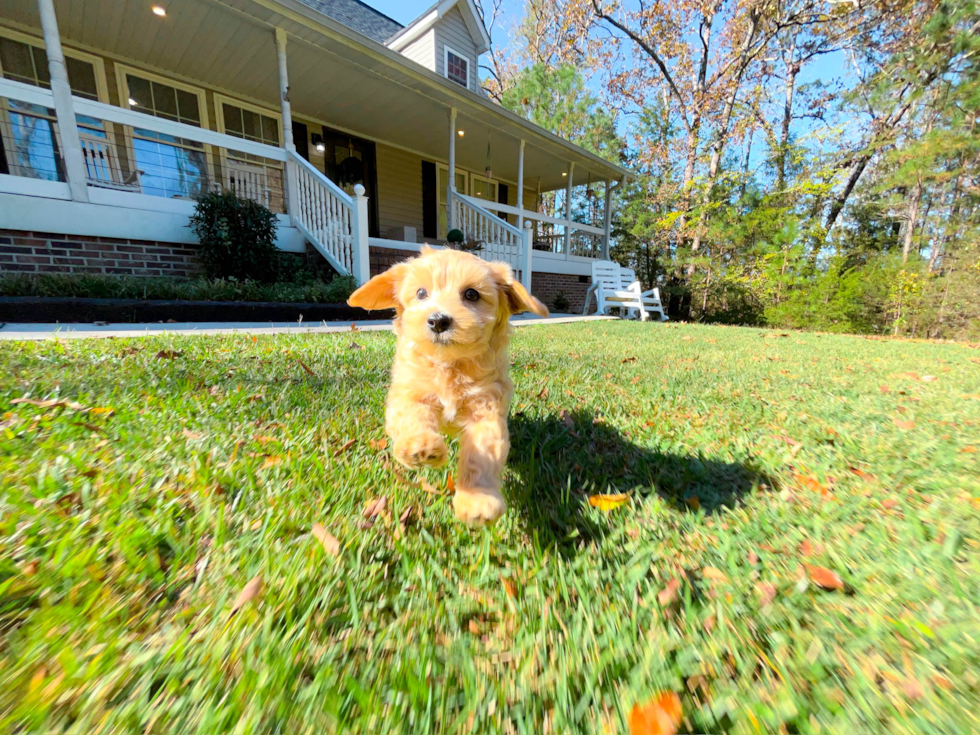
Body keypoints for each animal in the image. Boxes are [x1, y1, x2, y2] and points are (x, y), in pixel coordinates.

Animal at [346, 250, 548, 528]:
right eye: (421, 293)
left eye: (472, 294)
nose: (438, 320)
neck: (450, 365)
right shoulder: (409, 392)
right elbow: (412, 416)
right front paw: (420, 445)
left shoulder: (486, 408)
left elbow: (481, 455)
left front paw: (478, 500)